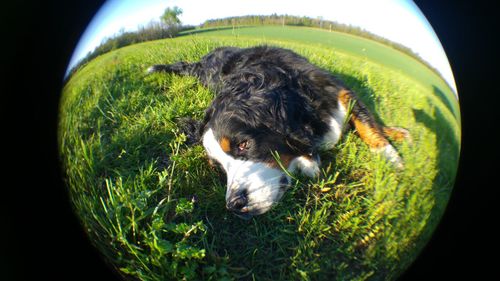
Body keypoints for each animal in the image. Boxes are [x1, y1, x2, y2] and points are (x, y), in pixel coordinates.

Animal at [146, 45, 410, 219]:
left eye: (243, 145)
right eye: (220, 168)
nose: (235, 204)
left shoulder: (338, 90)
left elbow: (368, 124)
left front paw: (391, 157)